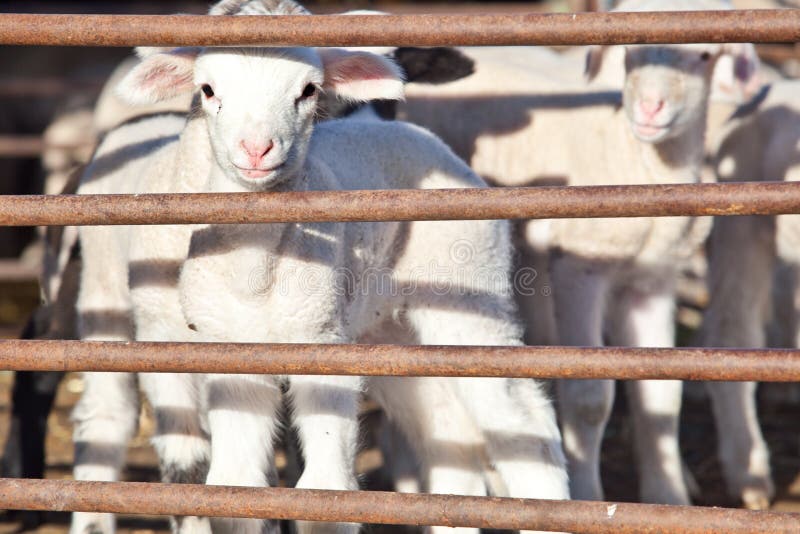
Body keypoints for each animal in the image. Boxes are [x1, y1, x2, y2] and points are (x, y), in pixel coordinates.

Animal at [398, 0, 759, 507]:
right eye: (629, 55)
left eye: (704, 56)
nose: (650, 109)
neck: (639, 164)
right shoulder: (581, 265)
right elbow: (590, 399)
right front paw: (588, 494)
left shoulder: (652, 281)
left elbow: (661, 394)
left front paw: (667, 496)